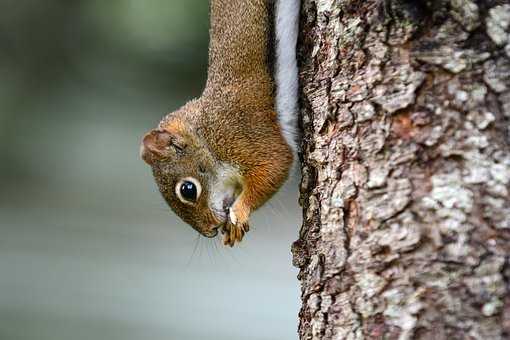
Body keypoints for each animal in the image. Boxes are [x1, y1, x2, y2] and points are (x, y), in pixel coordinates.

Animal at [139, 0, 298, 246]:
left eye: (187, 190)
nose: (210, 230)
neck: (205, 137)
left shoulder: (241, 135)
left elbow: (276, 164)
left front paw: (240, 211)